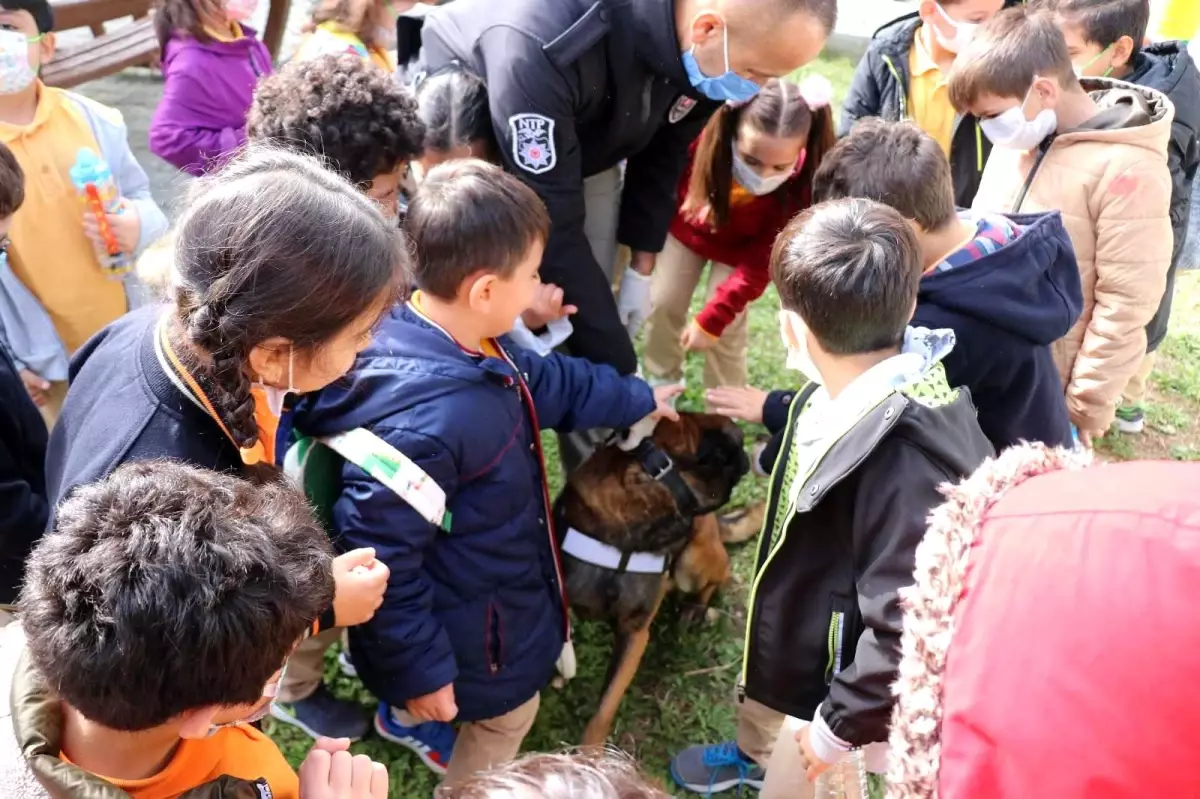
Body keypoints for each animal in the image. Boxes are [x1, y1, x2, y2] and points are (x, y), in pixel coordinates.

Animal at [554, 410, 744, 739]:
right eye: (723, 453)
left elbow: (603, 710)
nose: (746, 453)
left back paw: (696, 608)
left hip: (692, 560)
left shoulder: (634, 634)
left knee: (722, 571)